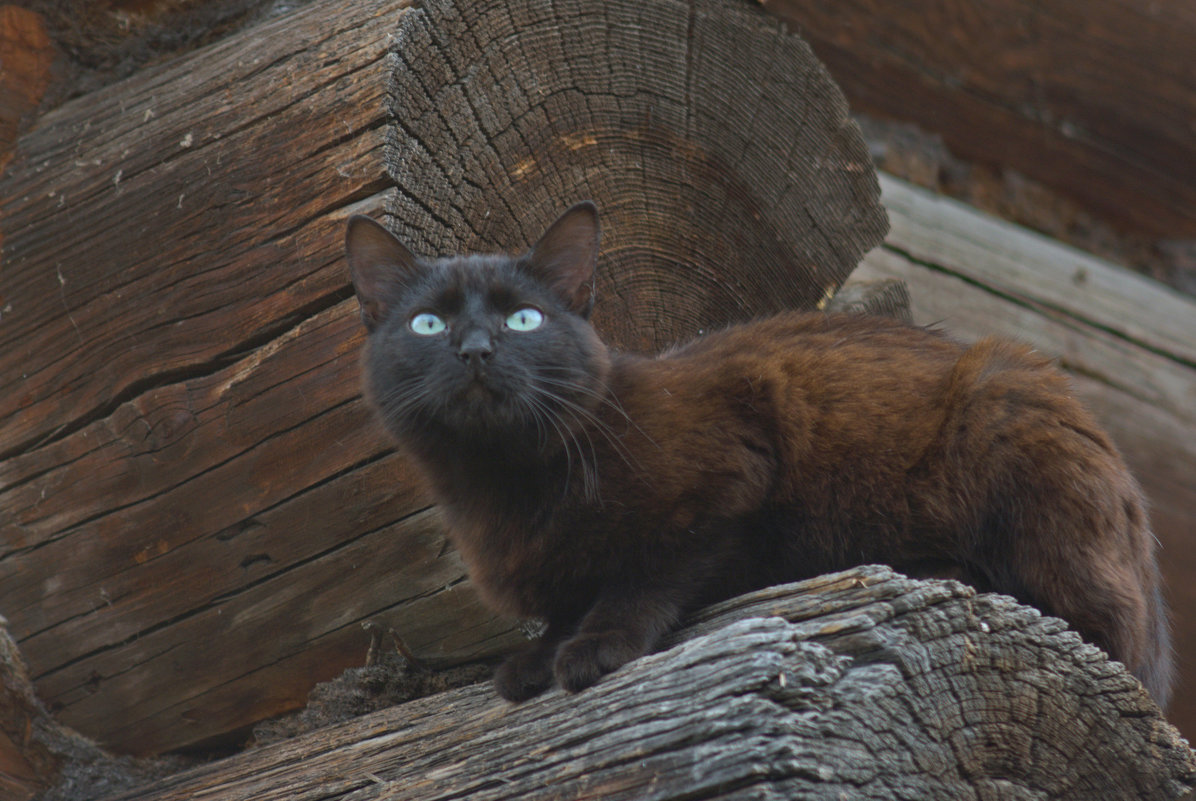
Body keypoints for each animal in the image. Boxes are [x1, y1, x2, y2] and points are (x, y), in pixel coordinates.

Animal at [342, 202, 1172, 707]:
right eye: (426, 324)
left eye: (524, 319)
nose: (476, 349)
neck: (506, 489)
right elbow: (569, 601)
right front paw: (540, 653)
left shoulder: (733, 474)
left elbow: (646, 572)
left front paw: (594, 646)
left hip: (1004, 398)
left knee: (1097, 624)